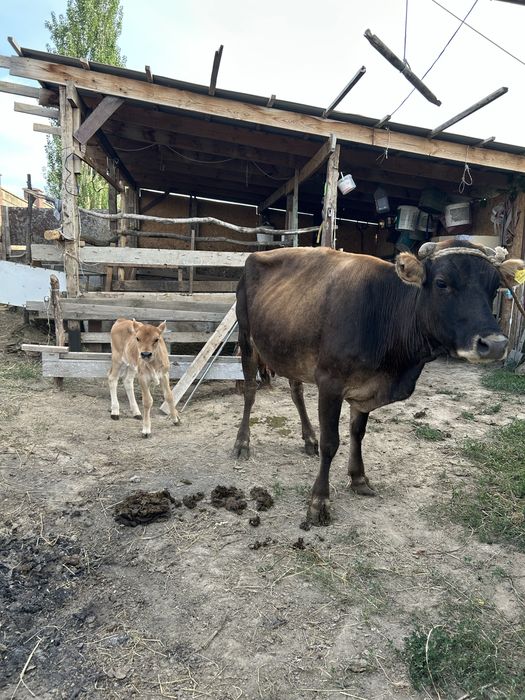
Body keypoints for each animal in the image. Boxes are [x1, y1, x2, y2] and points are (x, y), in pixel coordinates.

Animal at [232, 239, 524, 525]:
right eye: (442, 283)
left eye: (494, 287)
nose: (496, 345)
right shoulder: (330, 382)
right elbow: (331, 443)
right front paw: (318, 502)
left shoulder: (366, 388)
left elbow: (357, 433)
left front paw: (358, 478)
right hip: (246, 338)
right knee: (250, 391)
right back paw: (242, 443)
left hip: (290, 348)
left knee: (296, 391)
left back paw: (308, 439)